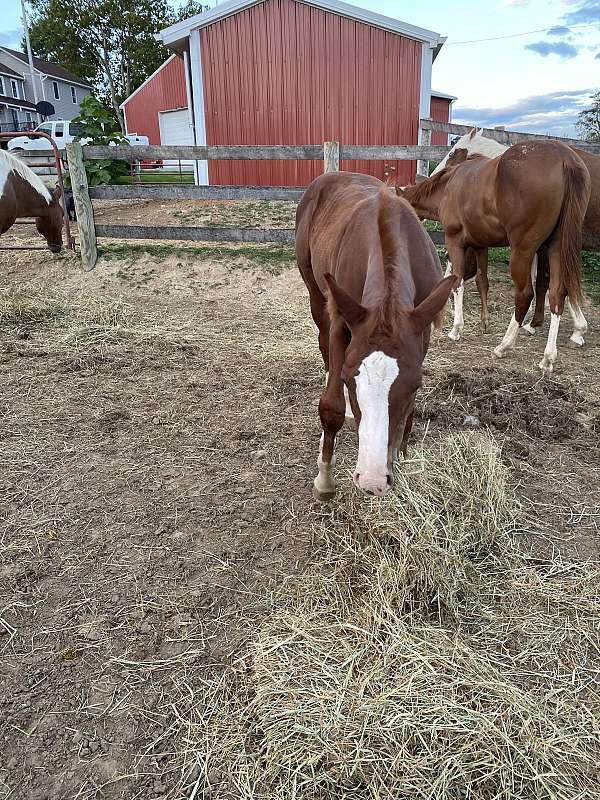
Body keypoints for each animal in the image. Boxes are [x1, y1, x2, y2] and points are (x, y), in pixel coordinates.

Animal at [296, 173, 454, 500]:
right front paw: (324, 479)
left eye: (415, 385)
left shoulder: (421, 331)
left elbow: (407, 415)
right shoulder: (344, 323)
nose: (372, 480)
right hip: (316, 295)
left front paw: (399, 457)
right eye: (348, 378)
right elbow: (330, 406)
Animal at [398, 142, 592, 376]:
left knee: (525, 295)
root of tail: (566, 159)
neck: (447, 187)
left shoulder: (454, 242)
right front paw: (484, 323)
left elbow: (458, 282)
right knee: (557, 295)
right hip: (555, 248)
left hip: (523, 251)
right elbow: (482, 282)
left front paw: (456, 329)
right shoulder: (480, 245)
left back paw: (504, 345)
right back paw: (547, 358)